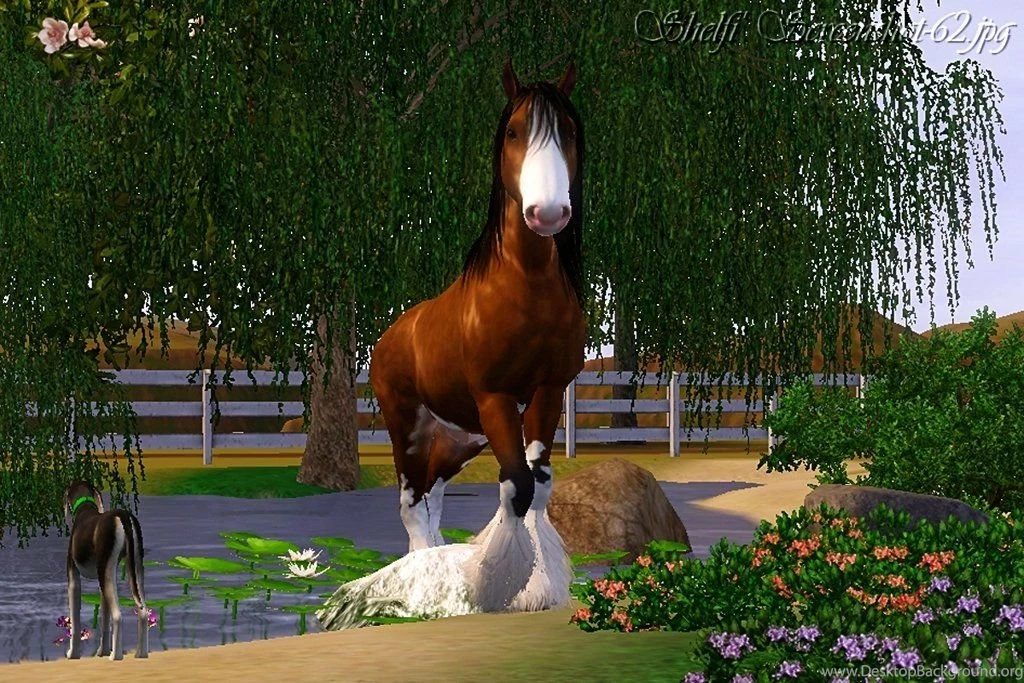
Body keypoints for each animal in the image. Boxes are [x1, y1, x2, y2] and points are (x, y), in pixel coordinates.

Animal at [367, 58, 584, 613]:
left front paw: (540, 590)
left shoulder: (548, 392)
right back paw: (420, 585)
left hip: (459, 439)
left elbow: (539, 484)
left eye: (569, 132)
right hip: (408, 426)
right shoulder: (496, 397)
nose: (548, 213)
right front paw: (495, 585)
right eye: (513, 132)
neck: (526, 285)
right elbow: (516, 486)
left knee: (433, 497)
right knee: (411, 502)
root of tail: (389, 336)